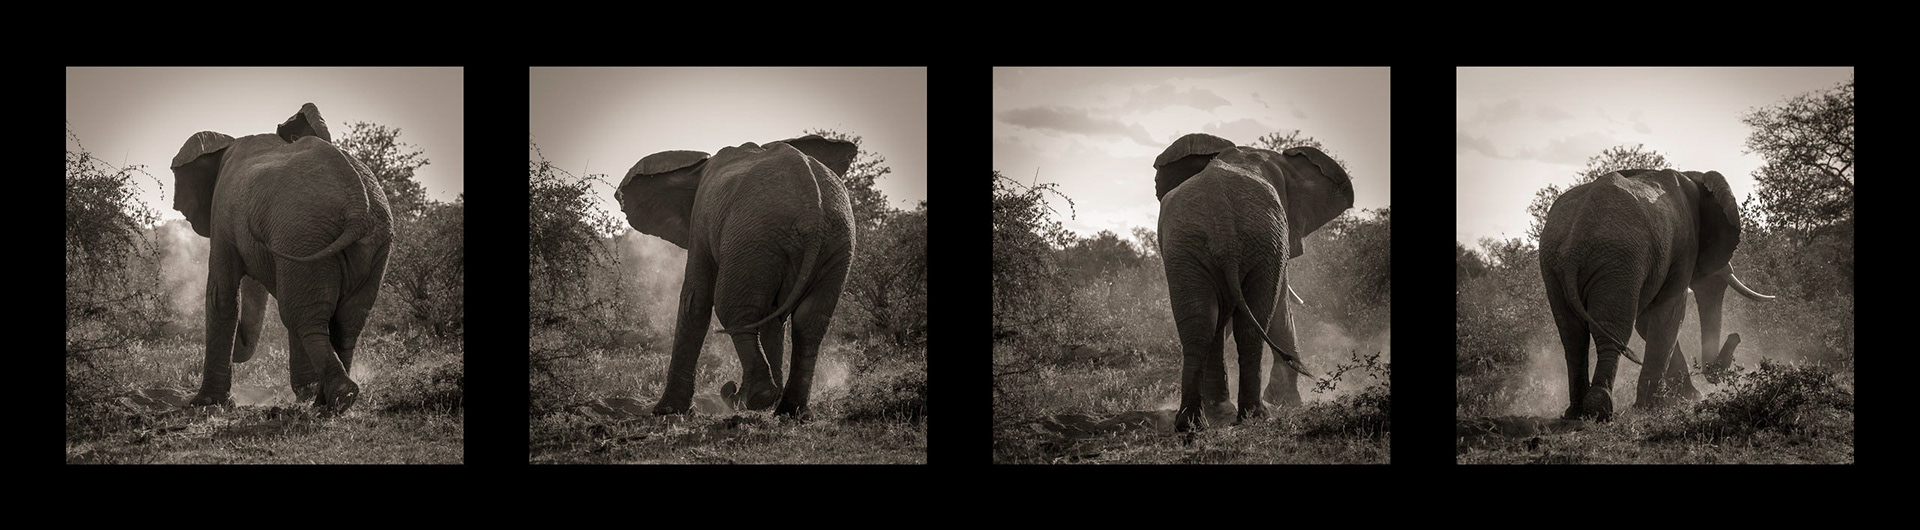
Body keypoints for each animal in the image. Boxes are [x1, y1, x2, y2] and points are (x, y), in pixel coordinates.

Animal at [169, 103, 393, 414]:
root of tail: (358, 207)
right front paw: (304, 392)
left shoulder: (222, 214)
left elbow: (221, 295)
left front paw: (205, 403)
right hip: (363, 243)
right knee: (345, 322)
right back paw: (328, 401)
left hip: (307, 234)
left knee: (301, 316)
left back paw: (336, 398)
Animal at [615, 135, 857, 418]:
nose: (729, 388)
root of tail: (812, 211)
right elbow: (773, 320)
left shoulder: (701, 218)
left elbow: (695, 300)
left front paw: (666, 411)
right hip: (834, 242)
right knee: (809, 321)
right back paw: (787, 410)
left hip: (757, 239)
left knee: (734, 310)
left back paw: (759, 398)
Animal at [1152, 133, 1354, 432]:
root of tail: (1222, 217)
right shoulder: (1278, 246)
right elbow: (1280, 307)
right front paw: (1287, 402)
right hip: (1260, 242)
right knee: (1252, 322)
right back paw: (1255, 414)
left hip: (1185, 247)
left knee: (1201, 323)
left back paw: (1193, 423)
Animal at [1539, 169, 1774, 421]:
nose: (1736, 336)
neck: (1693, 177)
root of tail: (1574, 246)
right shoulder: (1684, 247)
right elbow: (1670, 315)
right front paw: (1657, 406)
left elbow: (1648, 321)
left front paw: (1687, 398)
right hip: (1617, 261)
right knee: (1611, 331)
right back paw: (1600, 410)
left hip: (1553, 265)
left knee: (1572, 337)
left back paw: (1575, 413)